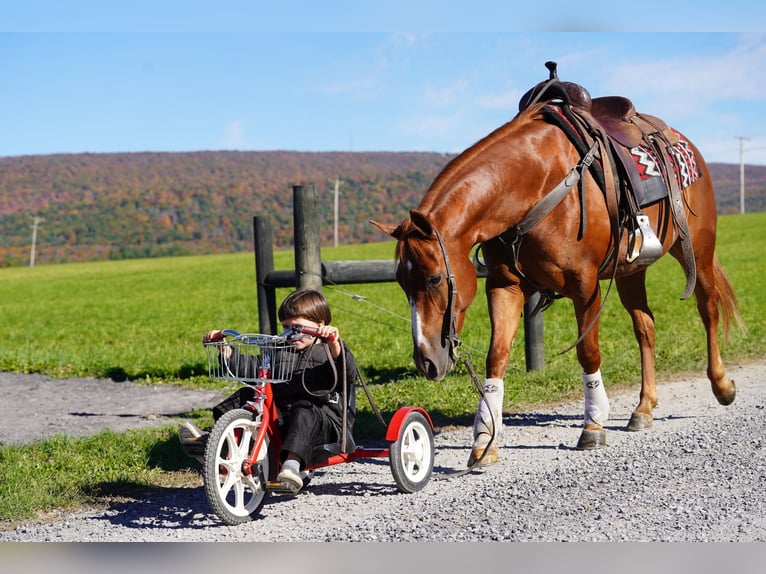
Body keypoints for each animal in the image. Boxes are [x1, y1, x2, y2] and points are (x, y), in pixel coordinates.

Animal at [371, 63, 742, 467]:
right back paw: (644, 407)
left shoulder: (585, 284)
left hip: (699, 250)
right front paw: (485, 439)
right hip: (632, 270)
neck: (532, 185)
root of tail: (682, 141)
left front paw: (593, 423)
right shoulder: (504, 286)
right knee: (645, 326)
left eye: (435, 279)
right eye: (402, 284)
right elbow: (496, 356)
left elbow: (588, 351)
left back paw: (721, 384)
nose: (426, 361)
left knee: (707, 307)